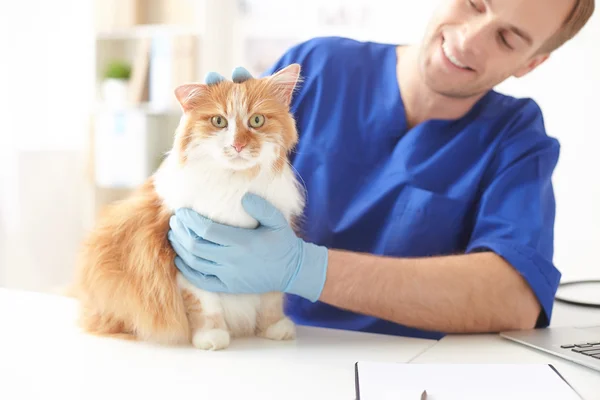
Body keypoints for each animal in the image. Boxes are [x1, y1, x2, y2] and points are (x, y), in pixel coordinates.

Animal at [75, 63, 308, 350]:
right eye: (219, 122)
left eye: (256, 121)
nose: (238, 145)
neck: (236, 187)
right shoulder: (188, 260)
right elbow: (205, 306)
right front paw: (211, 337)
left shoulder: (273, 255)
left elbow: (271, 300)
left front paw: (274, 328)